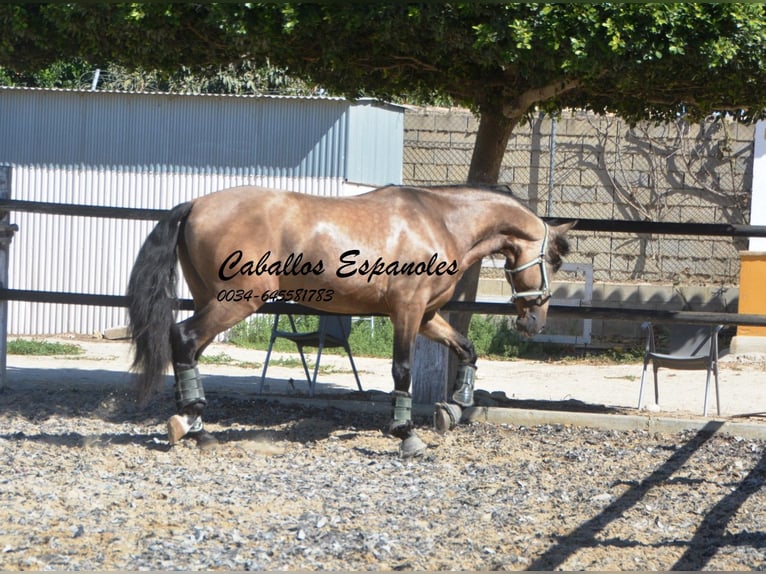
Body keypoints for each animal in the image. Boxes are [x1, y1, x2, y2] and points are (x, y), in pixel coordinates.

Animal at [126, 184, 572, 460]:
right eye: (553, 260)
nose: (534, 322)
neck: (439, 221)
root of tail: (196, 205)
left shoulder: (427, 315)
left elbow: (467, 349)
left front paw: (455, 407)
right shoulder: (407, 311)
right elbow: (402, 371)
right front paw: (406, 435)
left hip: (214, 300)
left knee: (188, 349)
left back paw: (191, 424)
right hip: (235, 302)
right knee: (184, 338)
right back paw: (195, 424)